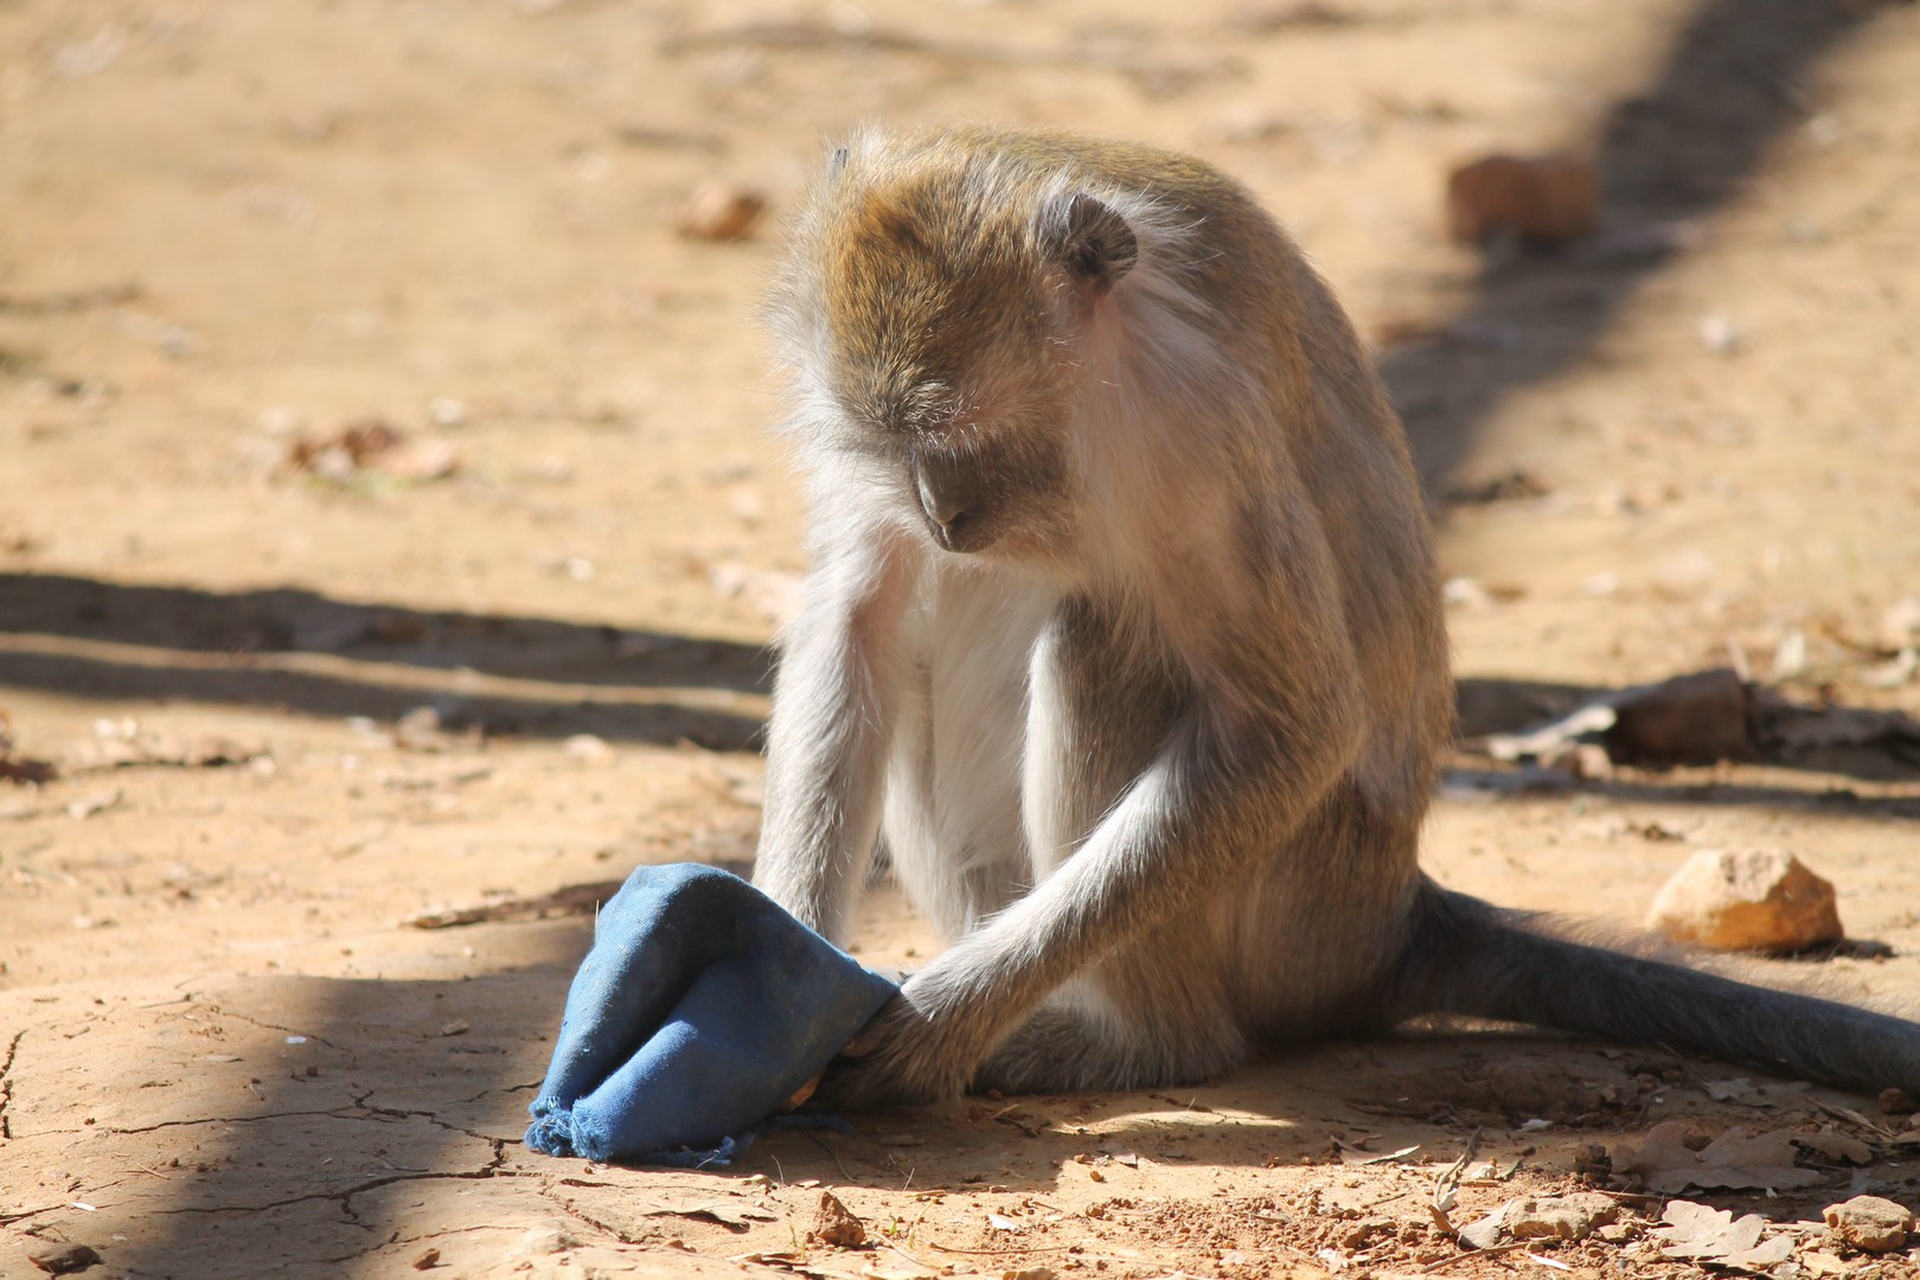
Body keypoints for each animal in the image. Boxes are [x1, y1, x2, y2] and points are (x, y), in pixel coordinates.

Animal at [748, 125, 1920, 1108]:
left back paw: (1143, 1045)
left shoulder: (1195, 424)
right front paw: (786, 942)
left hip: (1293, 907)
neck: (1100, 381)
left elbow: (1293, 725)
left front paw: (939, 1019)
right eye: (886, 445)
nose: (943, 515)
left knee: (1100, 635)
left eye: (960, 434)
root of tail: (1390, 916)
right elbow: (859, 618)